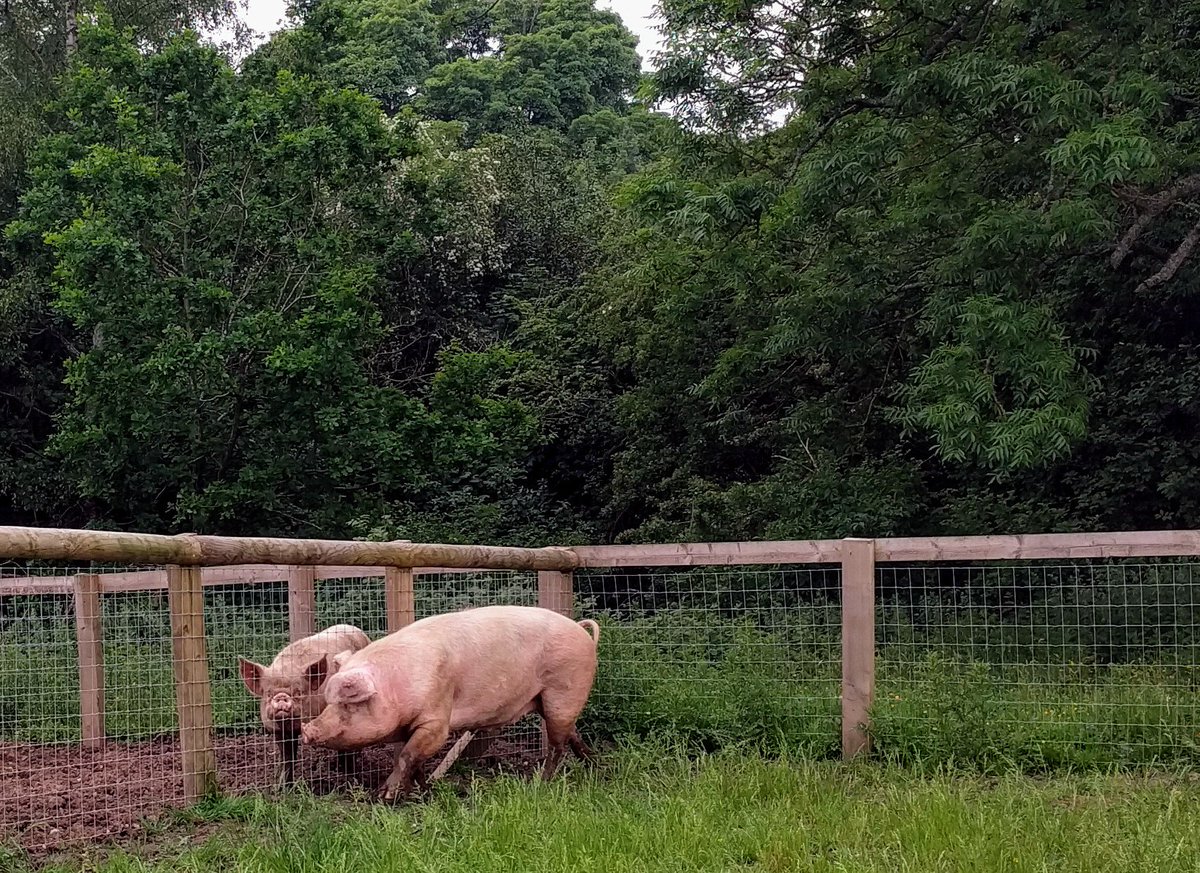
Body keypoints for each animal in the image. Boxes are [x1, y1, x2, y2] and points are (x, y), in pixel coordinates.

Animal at [238, 623, 371, 787]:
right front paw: (283, 787)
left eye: (298, 692)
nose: (281, 697)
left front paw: (351, 782)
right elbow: (288, 758)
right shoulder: (280, 732)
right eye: (268, 694)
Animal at [299, 605, 600, 801]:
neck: (398, 683)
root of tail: (581, 631)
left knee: (558, 744)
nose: (307, 730)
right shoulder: (411, 727)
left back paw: (540, 782)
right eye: (328, 702)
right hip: (550, 701)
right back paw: (594, 765)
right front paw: (423, 792)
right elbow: (414, 760)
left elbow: (407, 756)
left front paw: (385, 796)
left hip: (564, 692)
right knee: (572, 734)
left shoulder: (436, 719)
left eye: (348, 703)